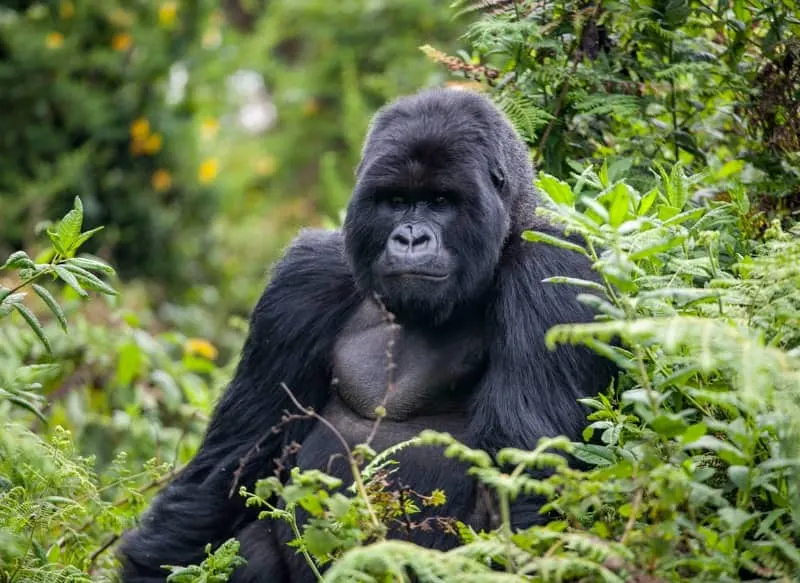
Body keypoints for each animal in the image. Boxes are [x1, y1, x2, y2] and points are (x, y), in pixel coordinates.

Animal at [119, 88, 616, 583]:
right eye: (395, 200)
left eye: (441, 200)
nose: (411, 239)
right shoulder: (303, 281)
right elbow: (231, 464)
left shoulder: (551, 272)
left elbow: (525, 481)